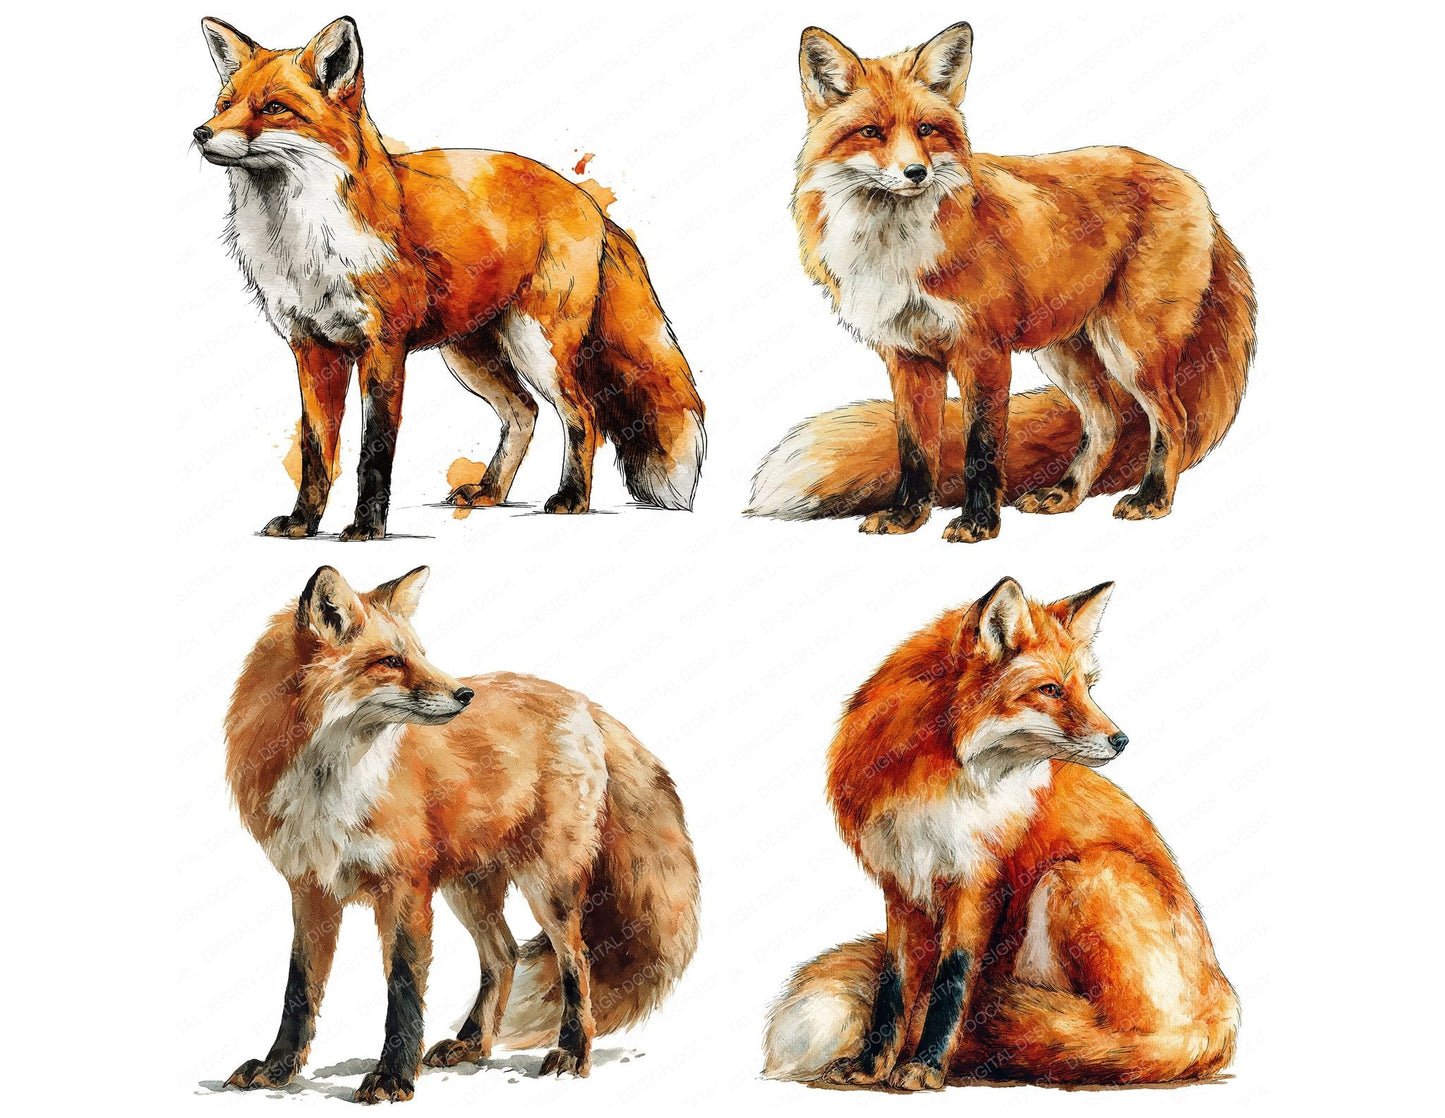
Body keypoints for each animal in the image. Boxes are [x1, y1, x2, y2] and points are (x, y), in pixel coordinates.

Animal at [195, 17, 705, 540]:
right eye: (224, 105)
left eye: (275, 108)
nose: (200, 132)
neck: (303, 242)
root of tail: (588, 201)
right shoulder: (312, 348)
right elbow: (317, 451)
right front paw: (303, 522)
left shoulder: (384, 346)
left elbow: (374, 450)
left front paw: (366, 528)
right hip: (470, 354)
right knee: (525, 412)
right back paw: (490, 492)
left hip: (537, 346)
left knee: (583, 413)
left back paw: (571, 499)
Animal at [223, 565, 699, 1103]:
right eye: (391, 661)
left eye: (421, 654)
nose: (463, 696)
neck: (329, 782)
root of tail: (584, 704)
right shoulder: (310, 890)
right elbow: (299, 991)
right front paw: (278, 1068)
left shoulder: (405, 885)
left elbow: (403, 989)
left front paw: (393, 1077)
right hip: (467, 887)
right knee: (504, 954)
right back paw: (473, 1043)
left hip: (546, 885)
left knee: (576, 960)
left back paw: (573, 1051)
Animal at [747, 22, 1255, 542]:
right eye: (871, 132)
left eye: (926, 129)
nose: (916, 172)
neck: (895, 250)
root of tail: (1190, 183)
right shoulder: (907, 356)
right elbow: (915, 448)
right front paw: (906, 516)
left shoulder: (983, 351)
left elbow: (982, 447)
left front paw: (978, 523)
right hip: (1066, 351)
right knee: (1106, 421)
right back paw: (1065, 493)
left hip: (1131, 347)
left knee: (1173, 419)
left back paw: (1153, 499)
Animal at [763, 577, 1238, 1089]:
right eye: (1050, 689)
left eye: (1088, 688)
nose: (1122, 740)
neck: (937, 779)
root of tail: (1219, 1013)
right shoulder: (902, 885)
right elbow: (893, 989)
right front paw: (873, 1065)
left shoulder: (978, 883)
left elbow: (951, 983)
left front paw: (926, 1066)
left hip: (1076, 875)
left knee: (1100, 1035)